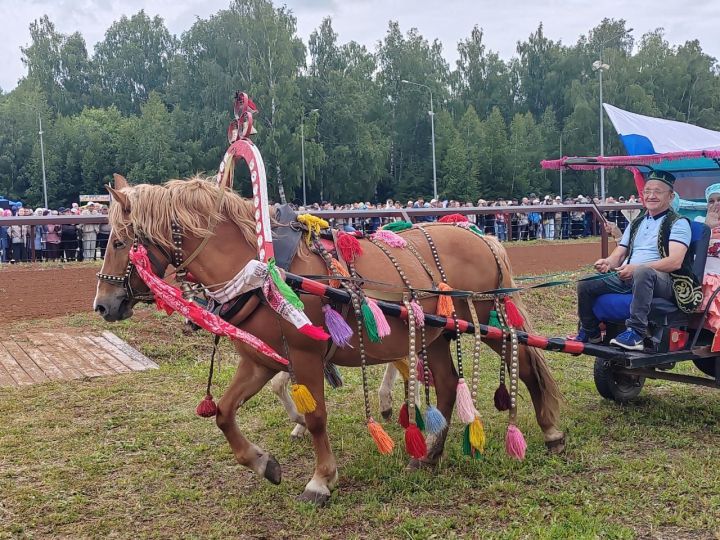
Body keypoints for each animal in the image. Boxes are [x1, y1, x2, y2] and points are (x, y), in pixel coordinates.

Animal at [95, 176, 564, 506]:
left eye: (118, 241)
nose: (103, 305)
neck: (261, 270)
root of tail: (478, 234)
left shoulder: (305, 354)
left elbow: (317, 416)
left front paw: (321, 480)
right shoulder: (261, 360)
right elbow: (224, 413)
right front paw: (264, 463)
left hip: (484, 320)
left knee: (524, 363)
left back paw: (551, 431)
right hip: (434, 334)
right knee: (448, 387)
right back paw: (428, 456)